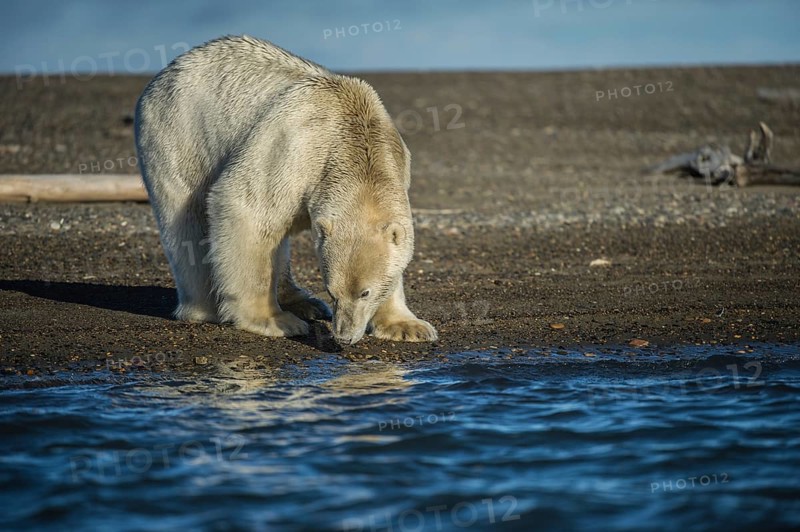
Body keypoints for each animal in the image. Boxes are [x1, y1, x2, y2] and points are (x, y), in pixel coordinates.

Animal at [134, 35, 437, 345]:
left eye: (365, 292)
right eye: (333, 290)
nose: (343, 337)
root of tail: (167, 71)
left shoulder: (396, 159)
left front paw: (406, 325)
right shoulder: (294, 147)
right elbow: (247, 208)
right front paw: (273, 320)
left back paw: (303, 301)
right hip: (181, 134)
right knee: (189, 222)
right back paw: (208, 307)